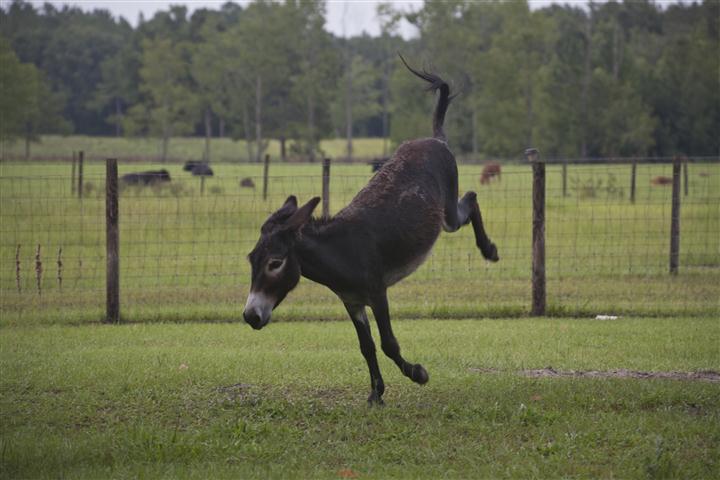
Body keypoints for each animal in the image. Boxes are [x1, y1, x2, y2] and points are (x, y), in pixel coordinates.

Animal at [243, 54, 500, 404]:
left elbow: (388, 343)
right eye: (251, 261)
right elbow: (366, 347)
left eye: (275, 263)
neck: (340, 252)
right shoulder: (352, 302)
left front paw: (418, 374)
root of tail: (434, 138)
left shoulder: (378, 293)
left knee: (471, 197)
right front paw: (376, 393)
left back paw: (490, 250)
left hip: (448, 215)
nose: (250, 317)